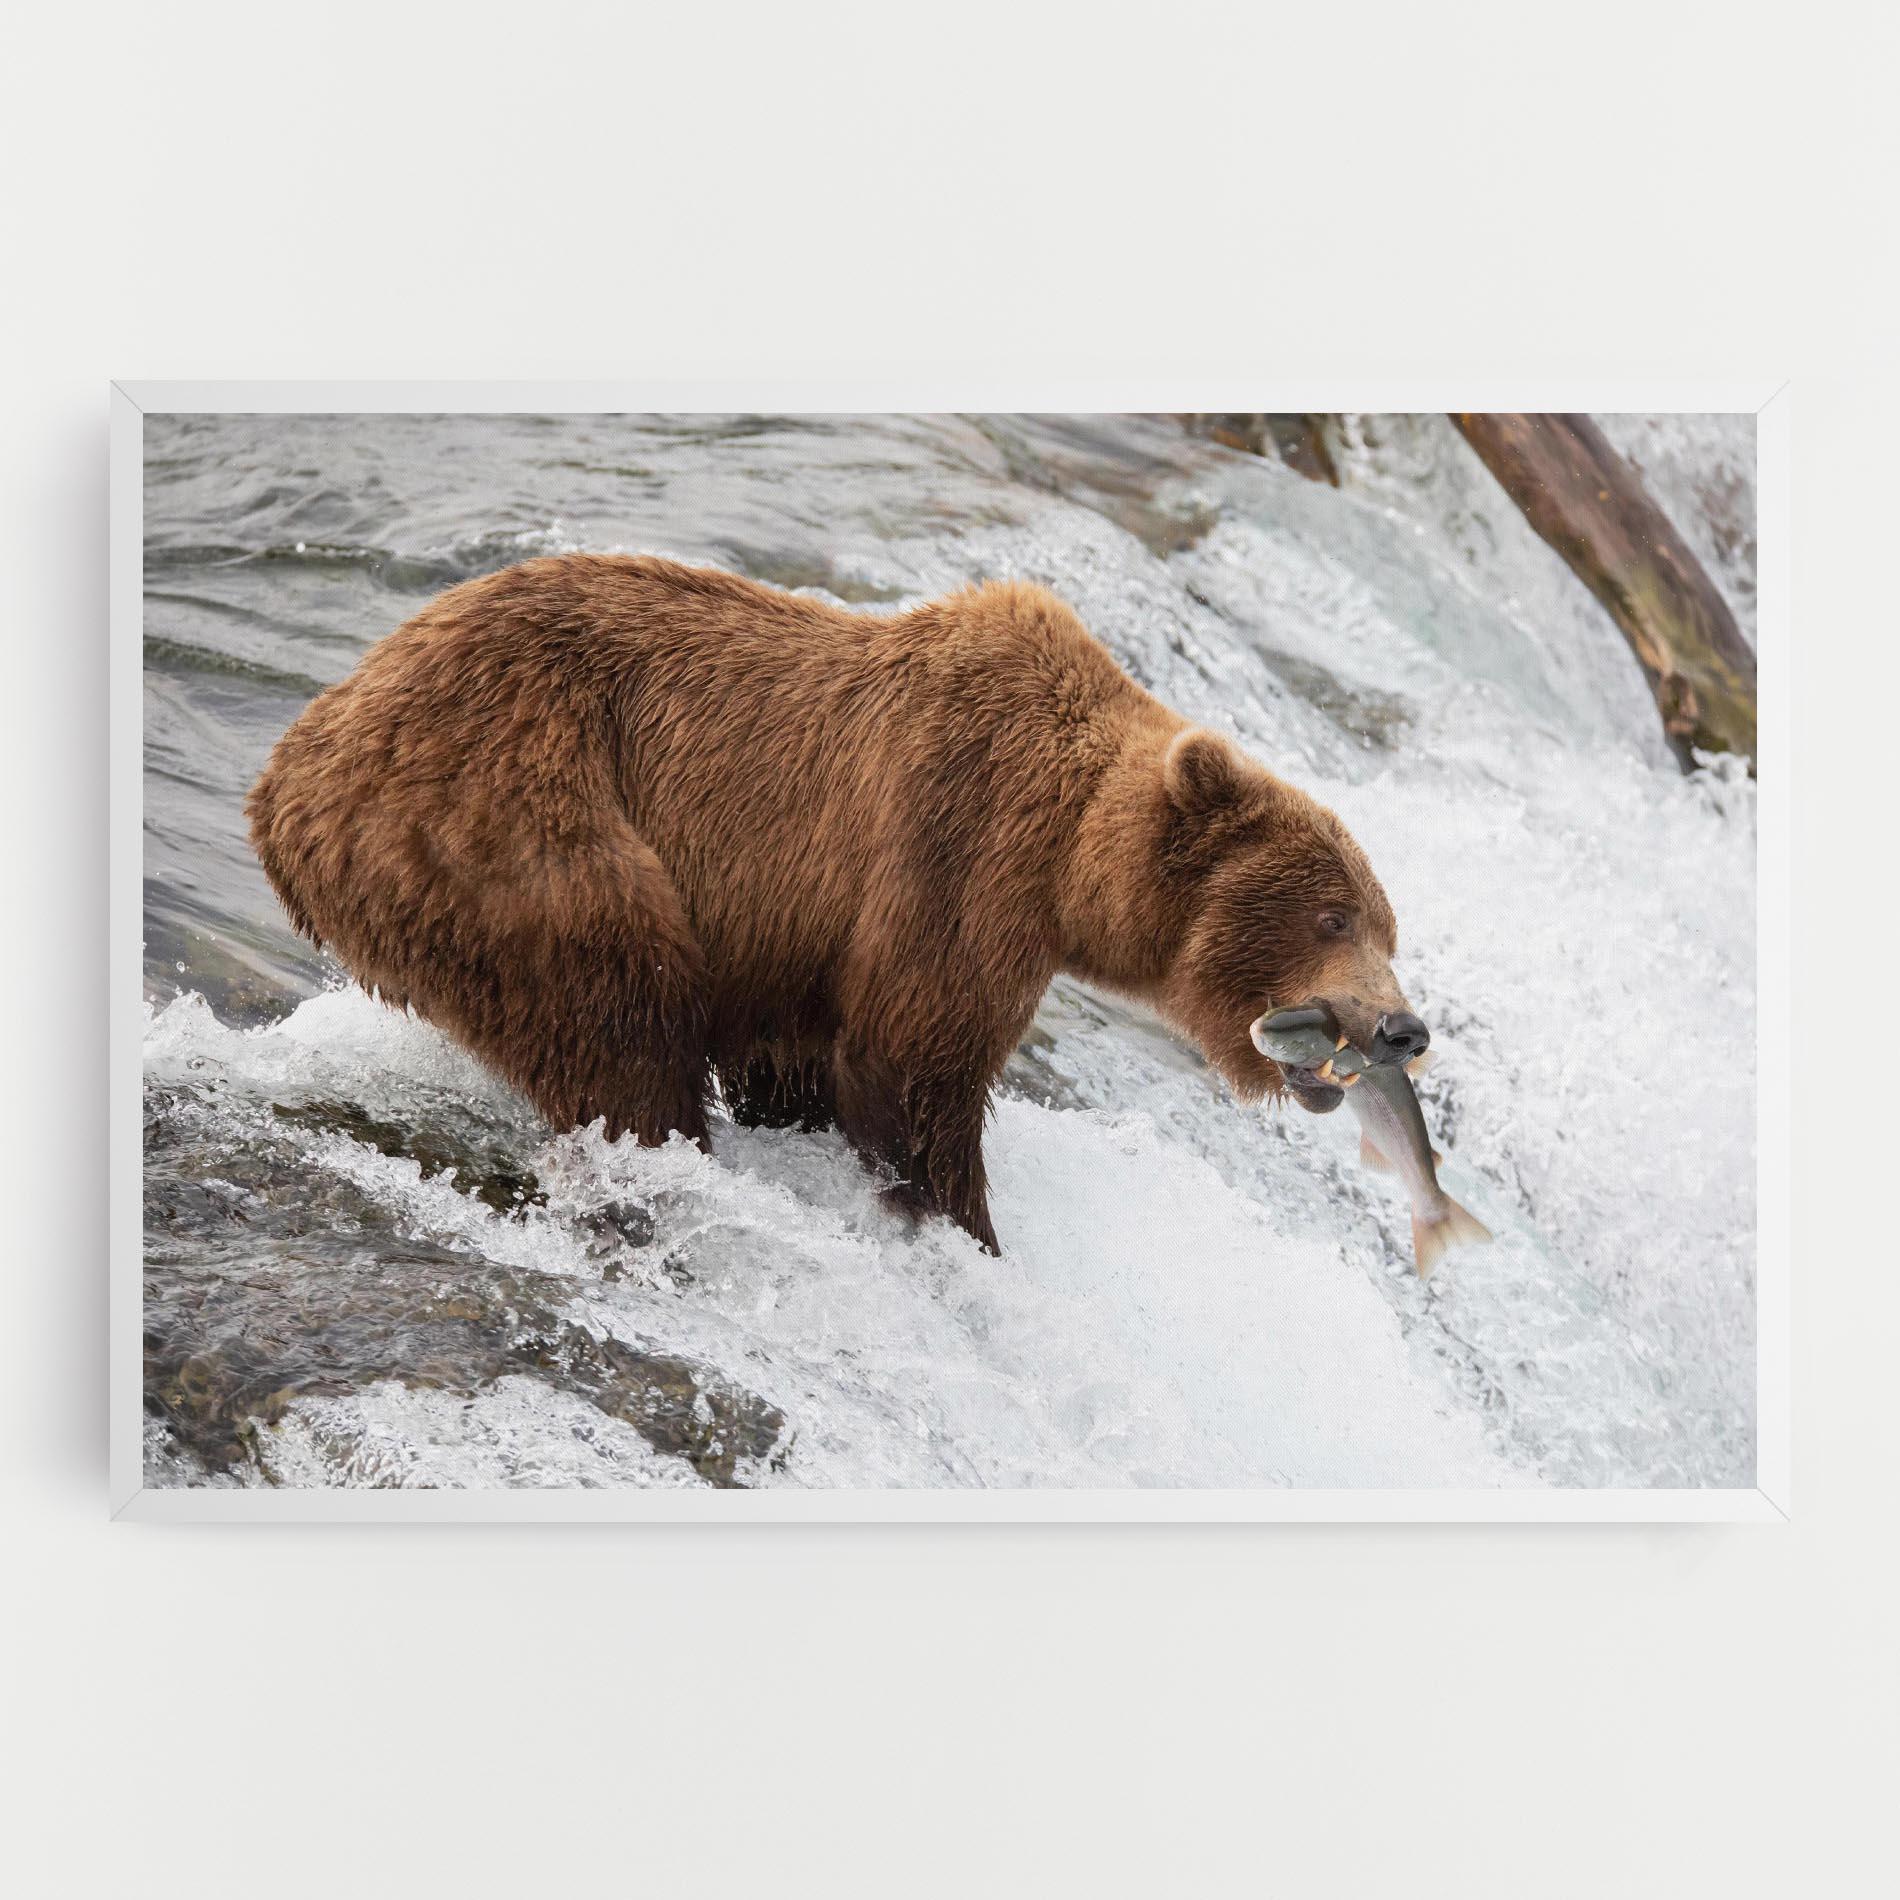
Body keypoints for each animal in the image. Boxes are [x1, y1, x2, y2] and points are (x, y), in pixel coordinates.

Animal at [247, 555, 1428, 1253]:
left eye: (1387, 926)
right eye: (1332, 916)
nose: (1401, 1028)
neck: (1069, 860)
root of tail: (290, 768)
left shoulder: (795, 941)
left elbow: (802, 1060)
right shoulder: (956, 850)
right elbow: (913, 1064)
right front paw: (964, 1227)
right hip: (509, 814)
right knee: (618, 1013)